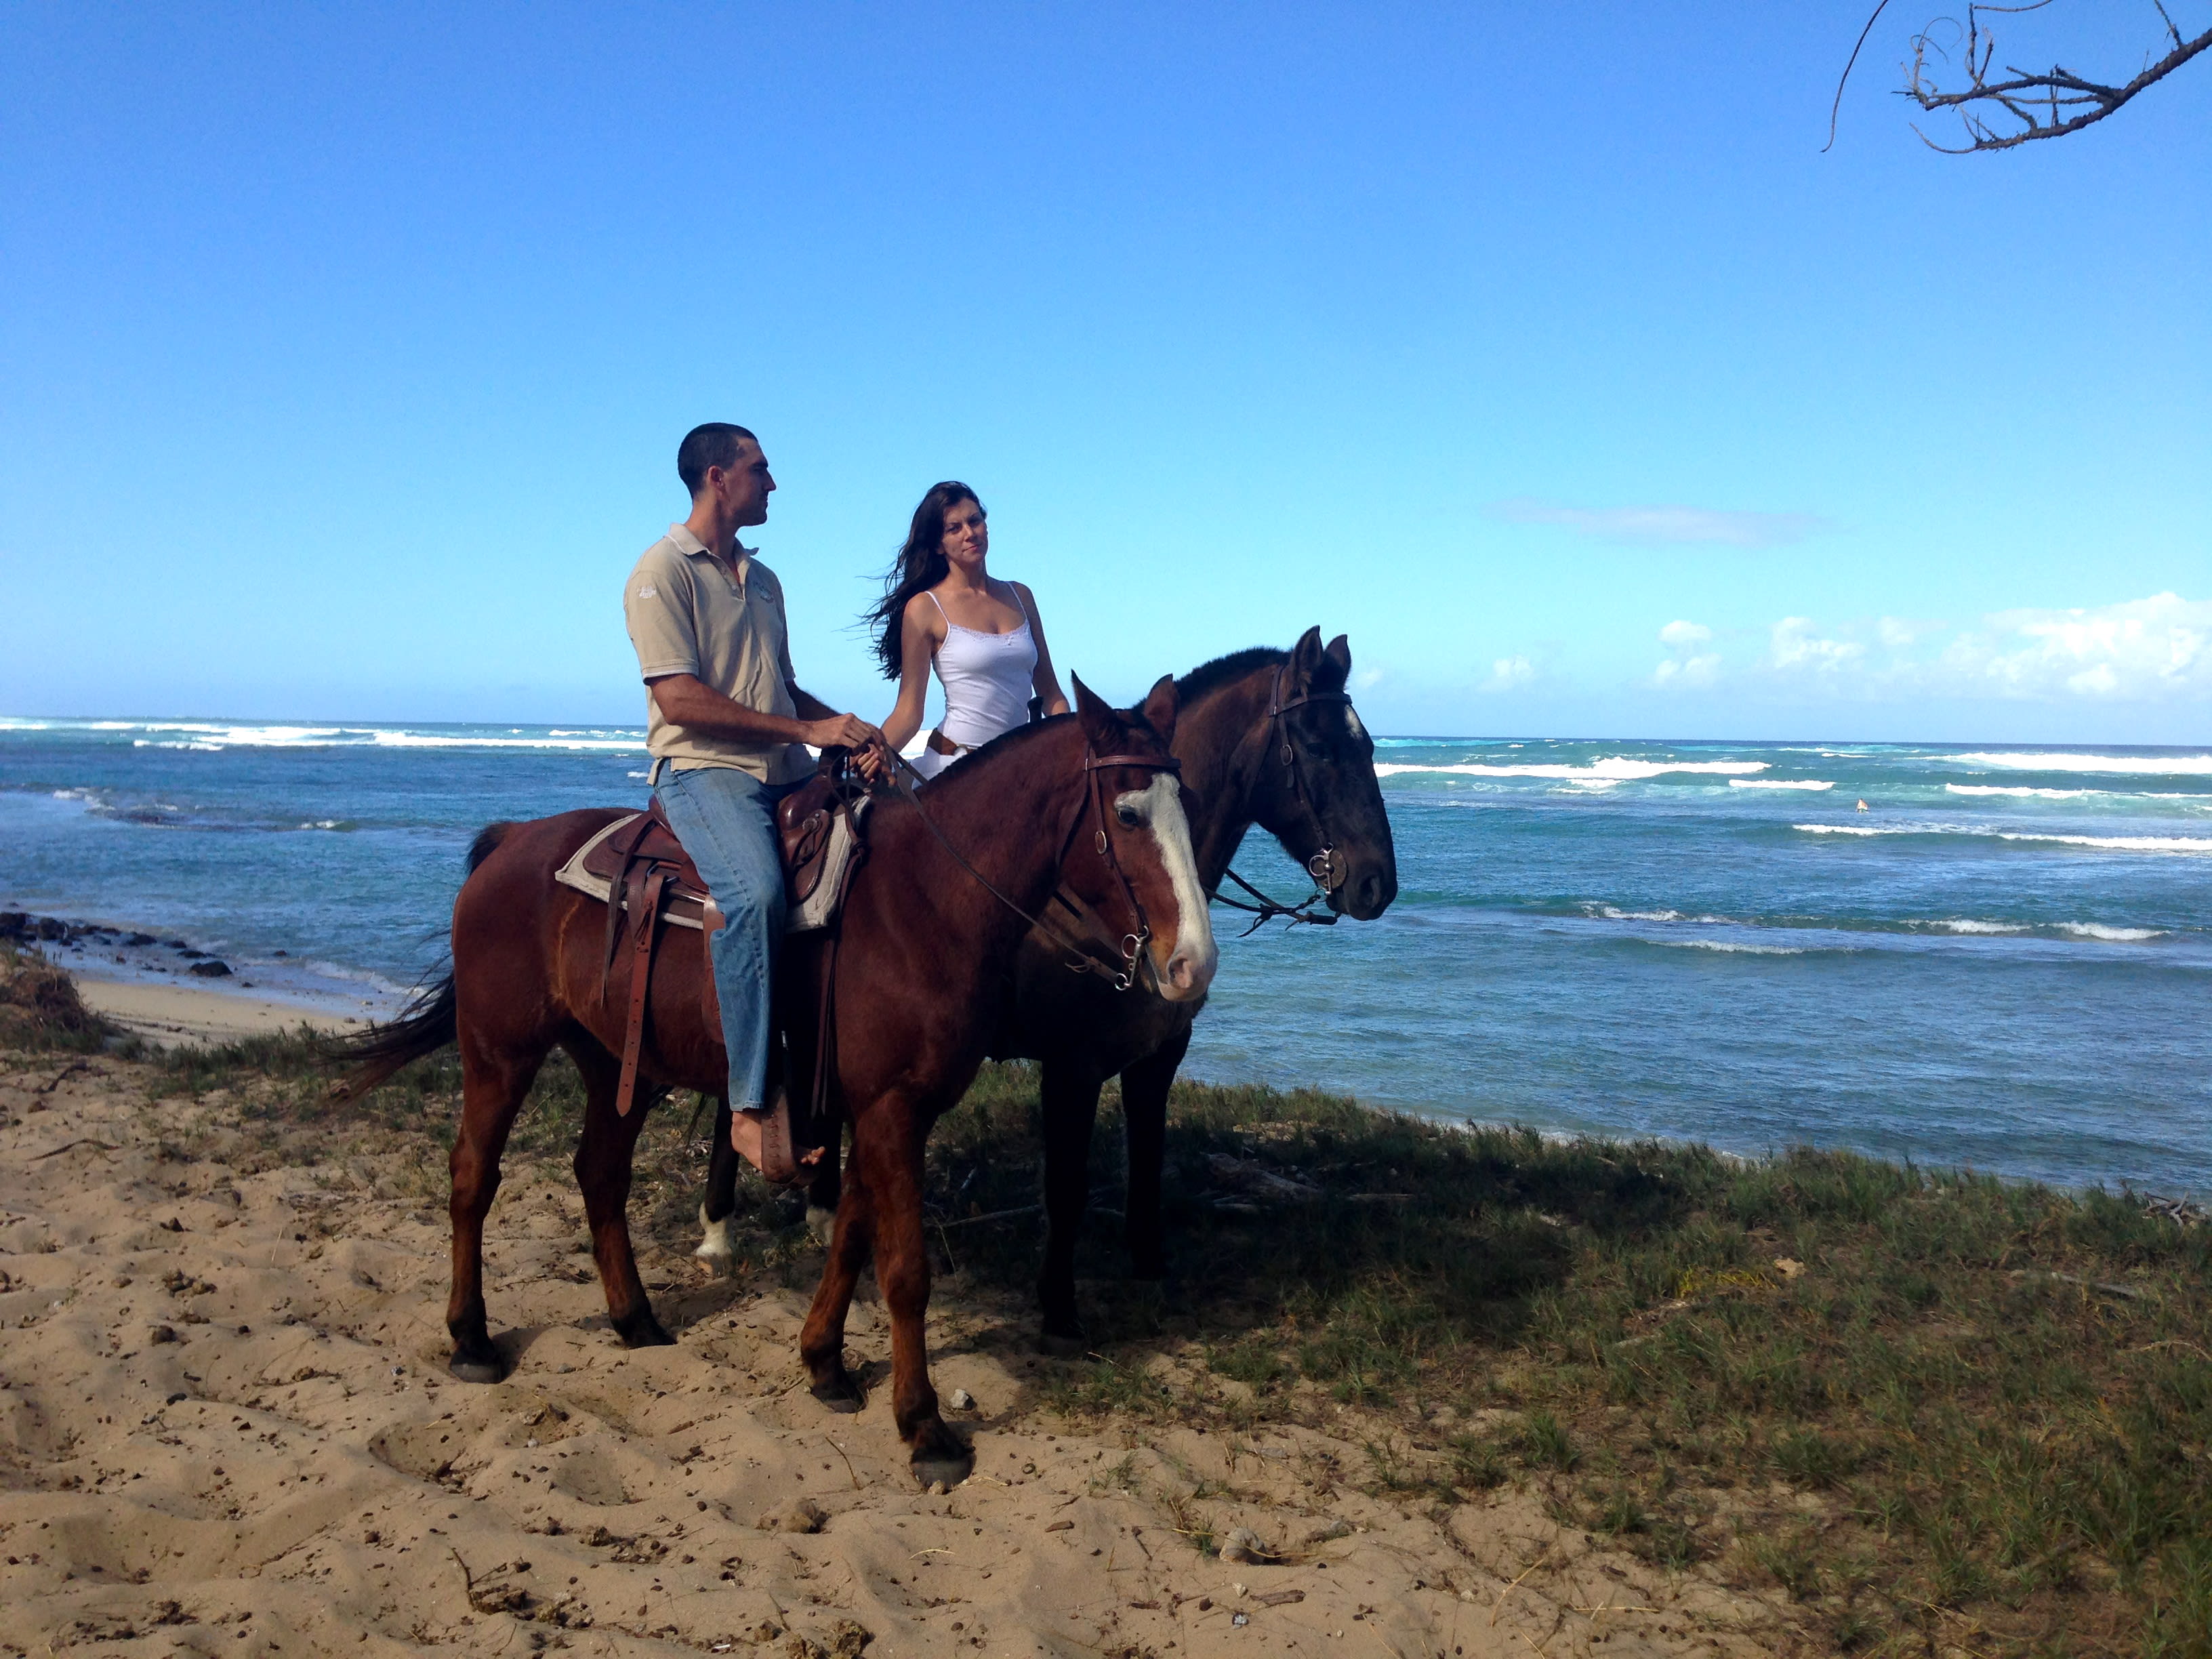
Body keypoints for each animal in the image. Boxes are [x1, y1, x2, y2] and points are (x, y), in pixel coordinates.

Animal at [336, 681, 1221, 1486]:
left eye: (1190, 803)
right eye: (1129, 815)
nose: (1193, 963)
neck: (922, 904)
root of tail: (512, 842)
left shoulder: (877, 1108)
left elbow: (854, 1235)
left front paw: (825, 1363)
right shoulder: (893, 1111)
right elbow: (904, 1271)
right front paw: (924, 1427)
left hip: (615, 1062)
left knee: (600, 1174)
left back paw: (634, 1319)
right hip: (500, 1053)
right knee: (472, 1179)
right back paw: (473, 1339)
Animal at [694, 628, 1397, 1345]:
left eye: (1370, 746)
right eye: (1319, 748)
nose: (1377, 884)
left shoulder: (1158, 1058)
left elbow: (1148, 1157)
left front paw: (1149, 1261)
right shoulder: (1073, 1064)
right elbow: (1067, 1184)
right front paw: (1058, 1304)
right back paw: (719, 1229)